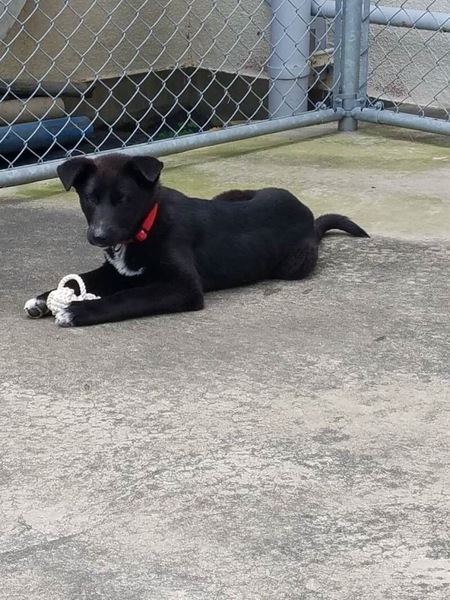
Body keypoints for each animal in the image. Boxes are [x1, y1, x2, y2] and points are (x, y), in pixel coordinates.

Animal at [24, 153, 369, 327]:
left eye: (124, 200)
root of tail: (308, 216)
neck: (145, 226)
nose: (98, 236)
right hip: (229, 194)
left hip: (293, 266)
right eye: (90, 199)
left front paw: (77, 311)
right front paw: (44, 299)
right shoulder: (114, 271)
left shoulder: (183, 287)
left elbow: (129, 297)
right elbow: (82, 278)